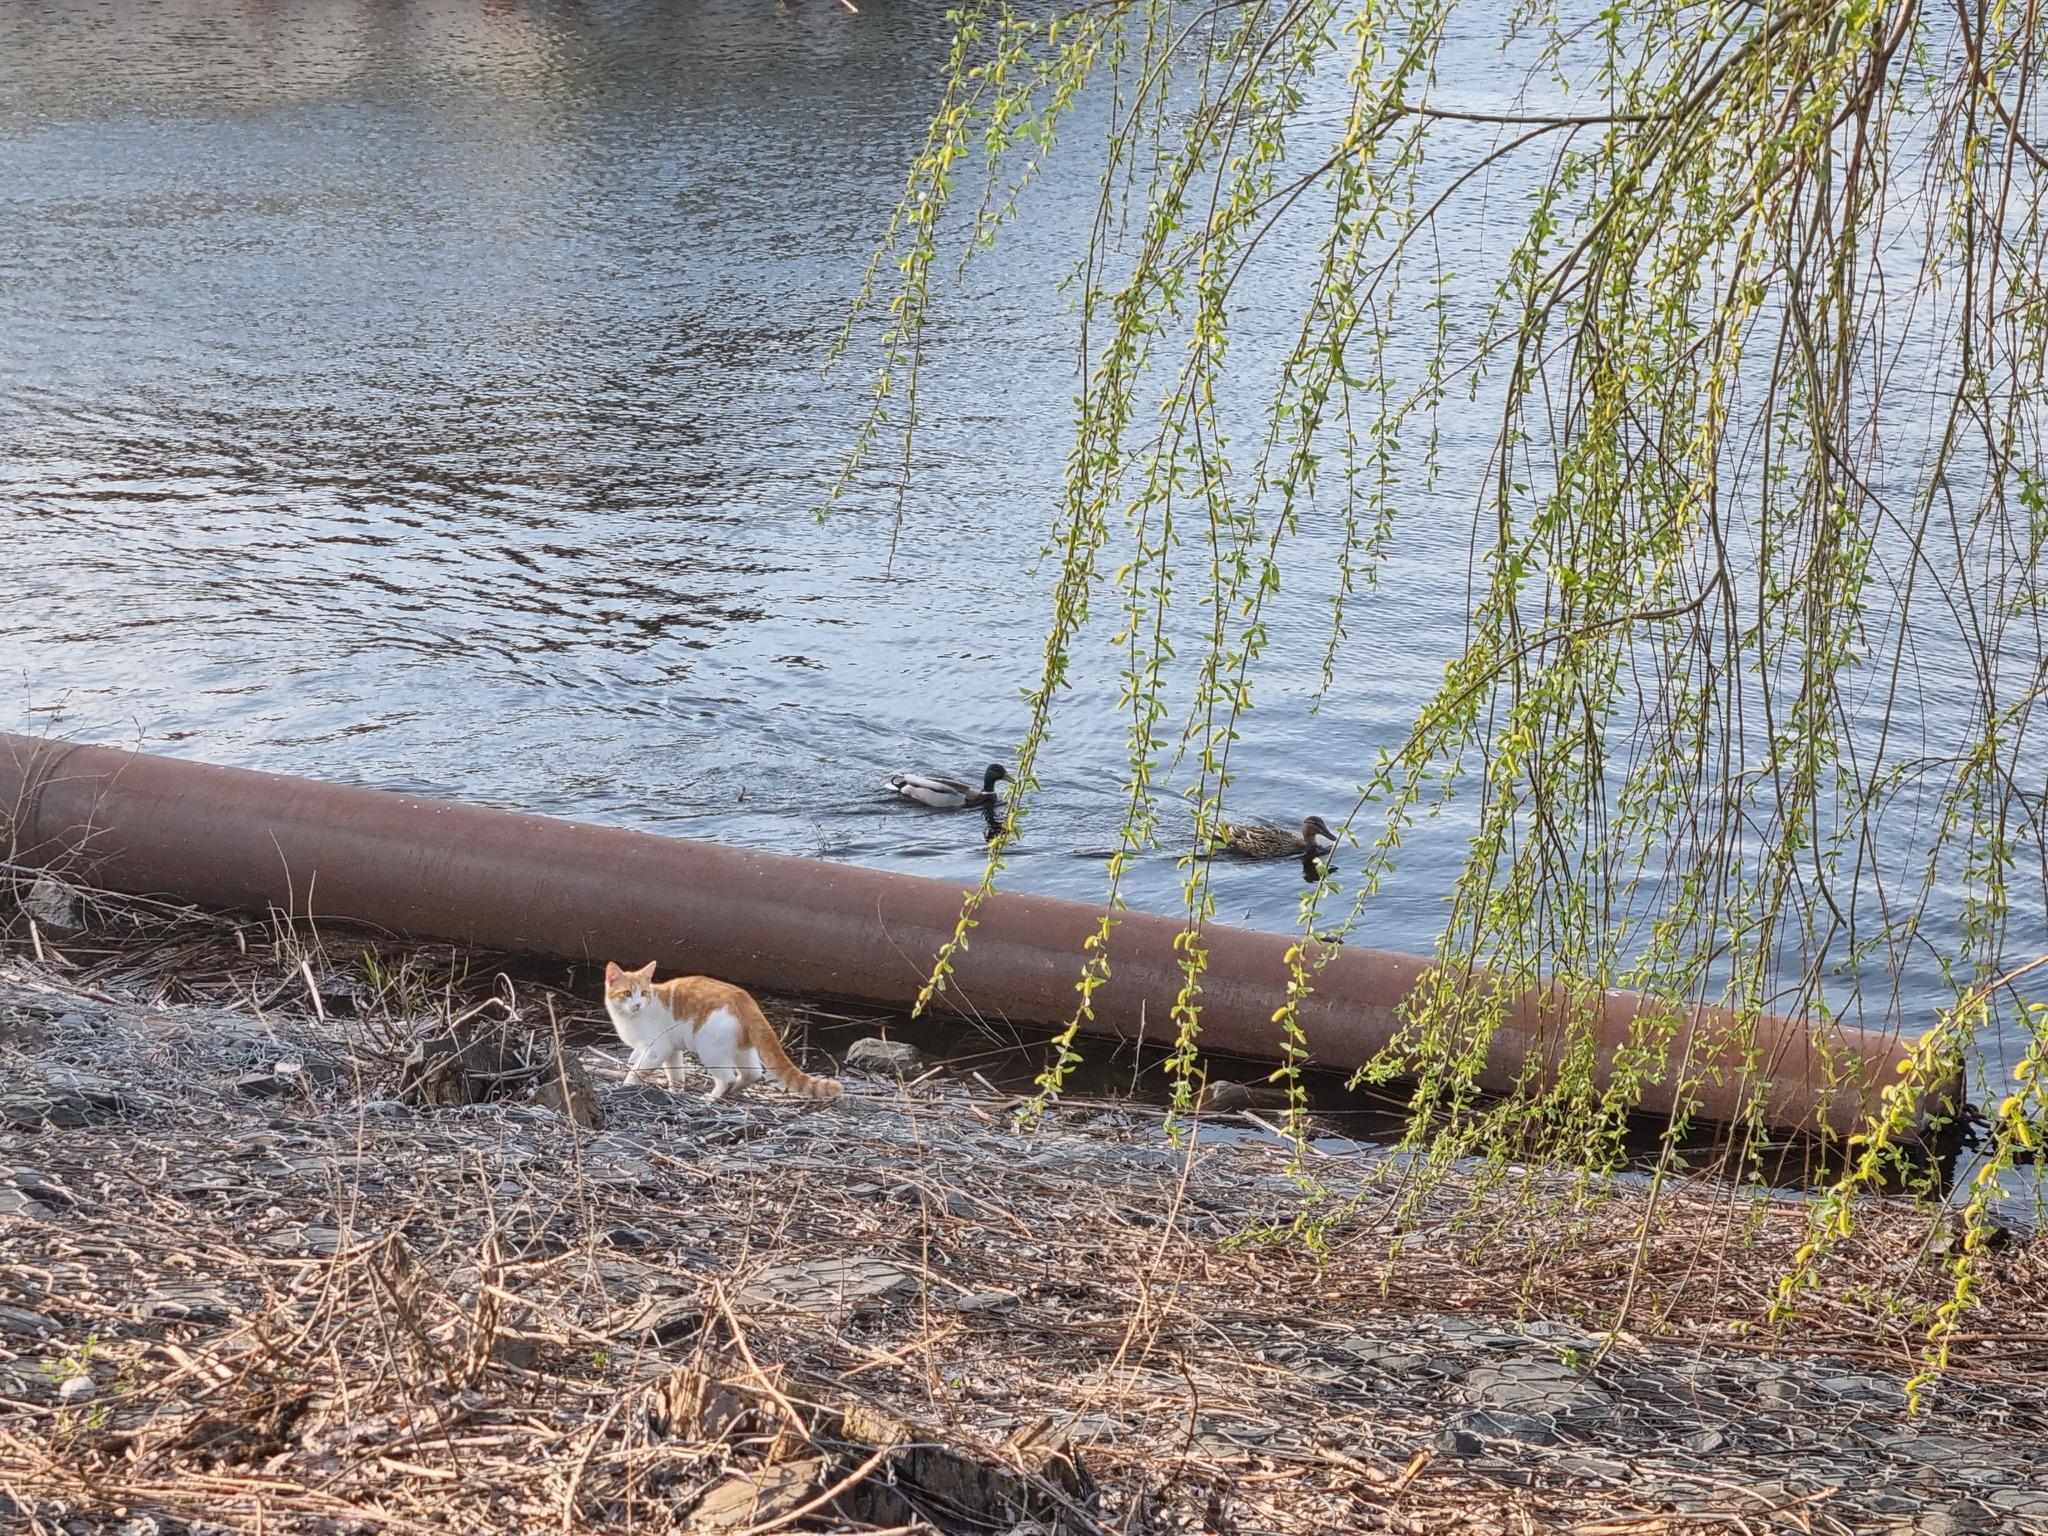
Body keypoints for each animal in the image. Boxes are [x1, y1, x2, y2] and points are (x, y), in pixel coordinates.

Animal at [602, 966, 843, 1097]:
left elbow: (637, 1070)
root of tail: (745, 999)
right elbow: (675, 1074)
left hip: (710, 1049)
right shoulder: (672, 1050)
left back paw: (713, 1097)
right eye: (627, 993)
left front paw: (626, 1085)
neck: (628, 1018)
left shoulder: (657, 1048)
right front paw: (676, 1091)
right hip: (742, 1049)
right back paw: (733, 1091)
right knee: (753, 1073)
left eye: (643, 993)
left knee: (728, 1077)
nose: (637, 1004)